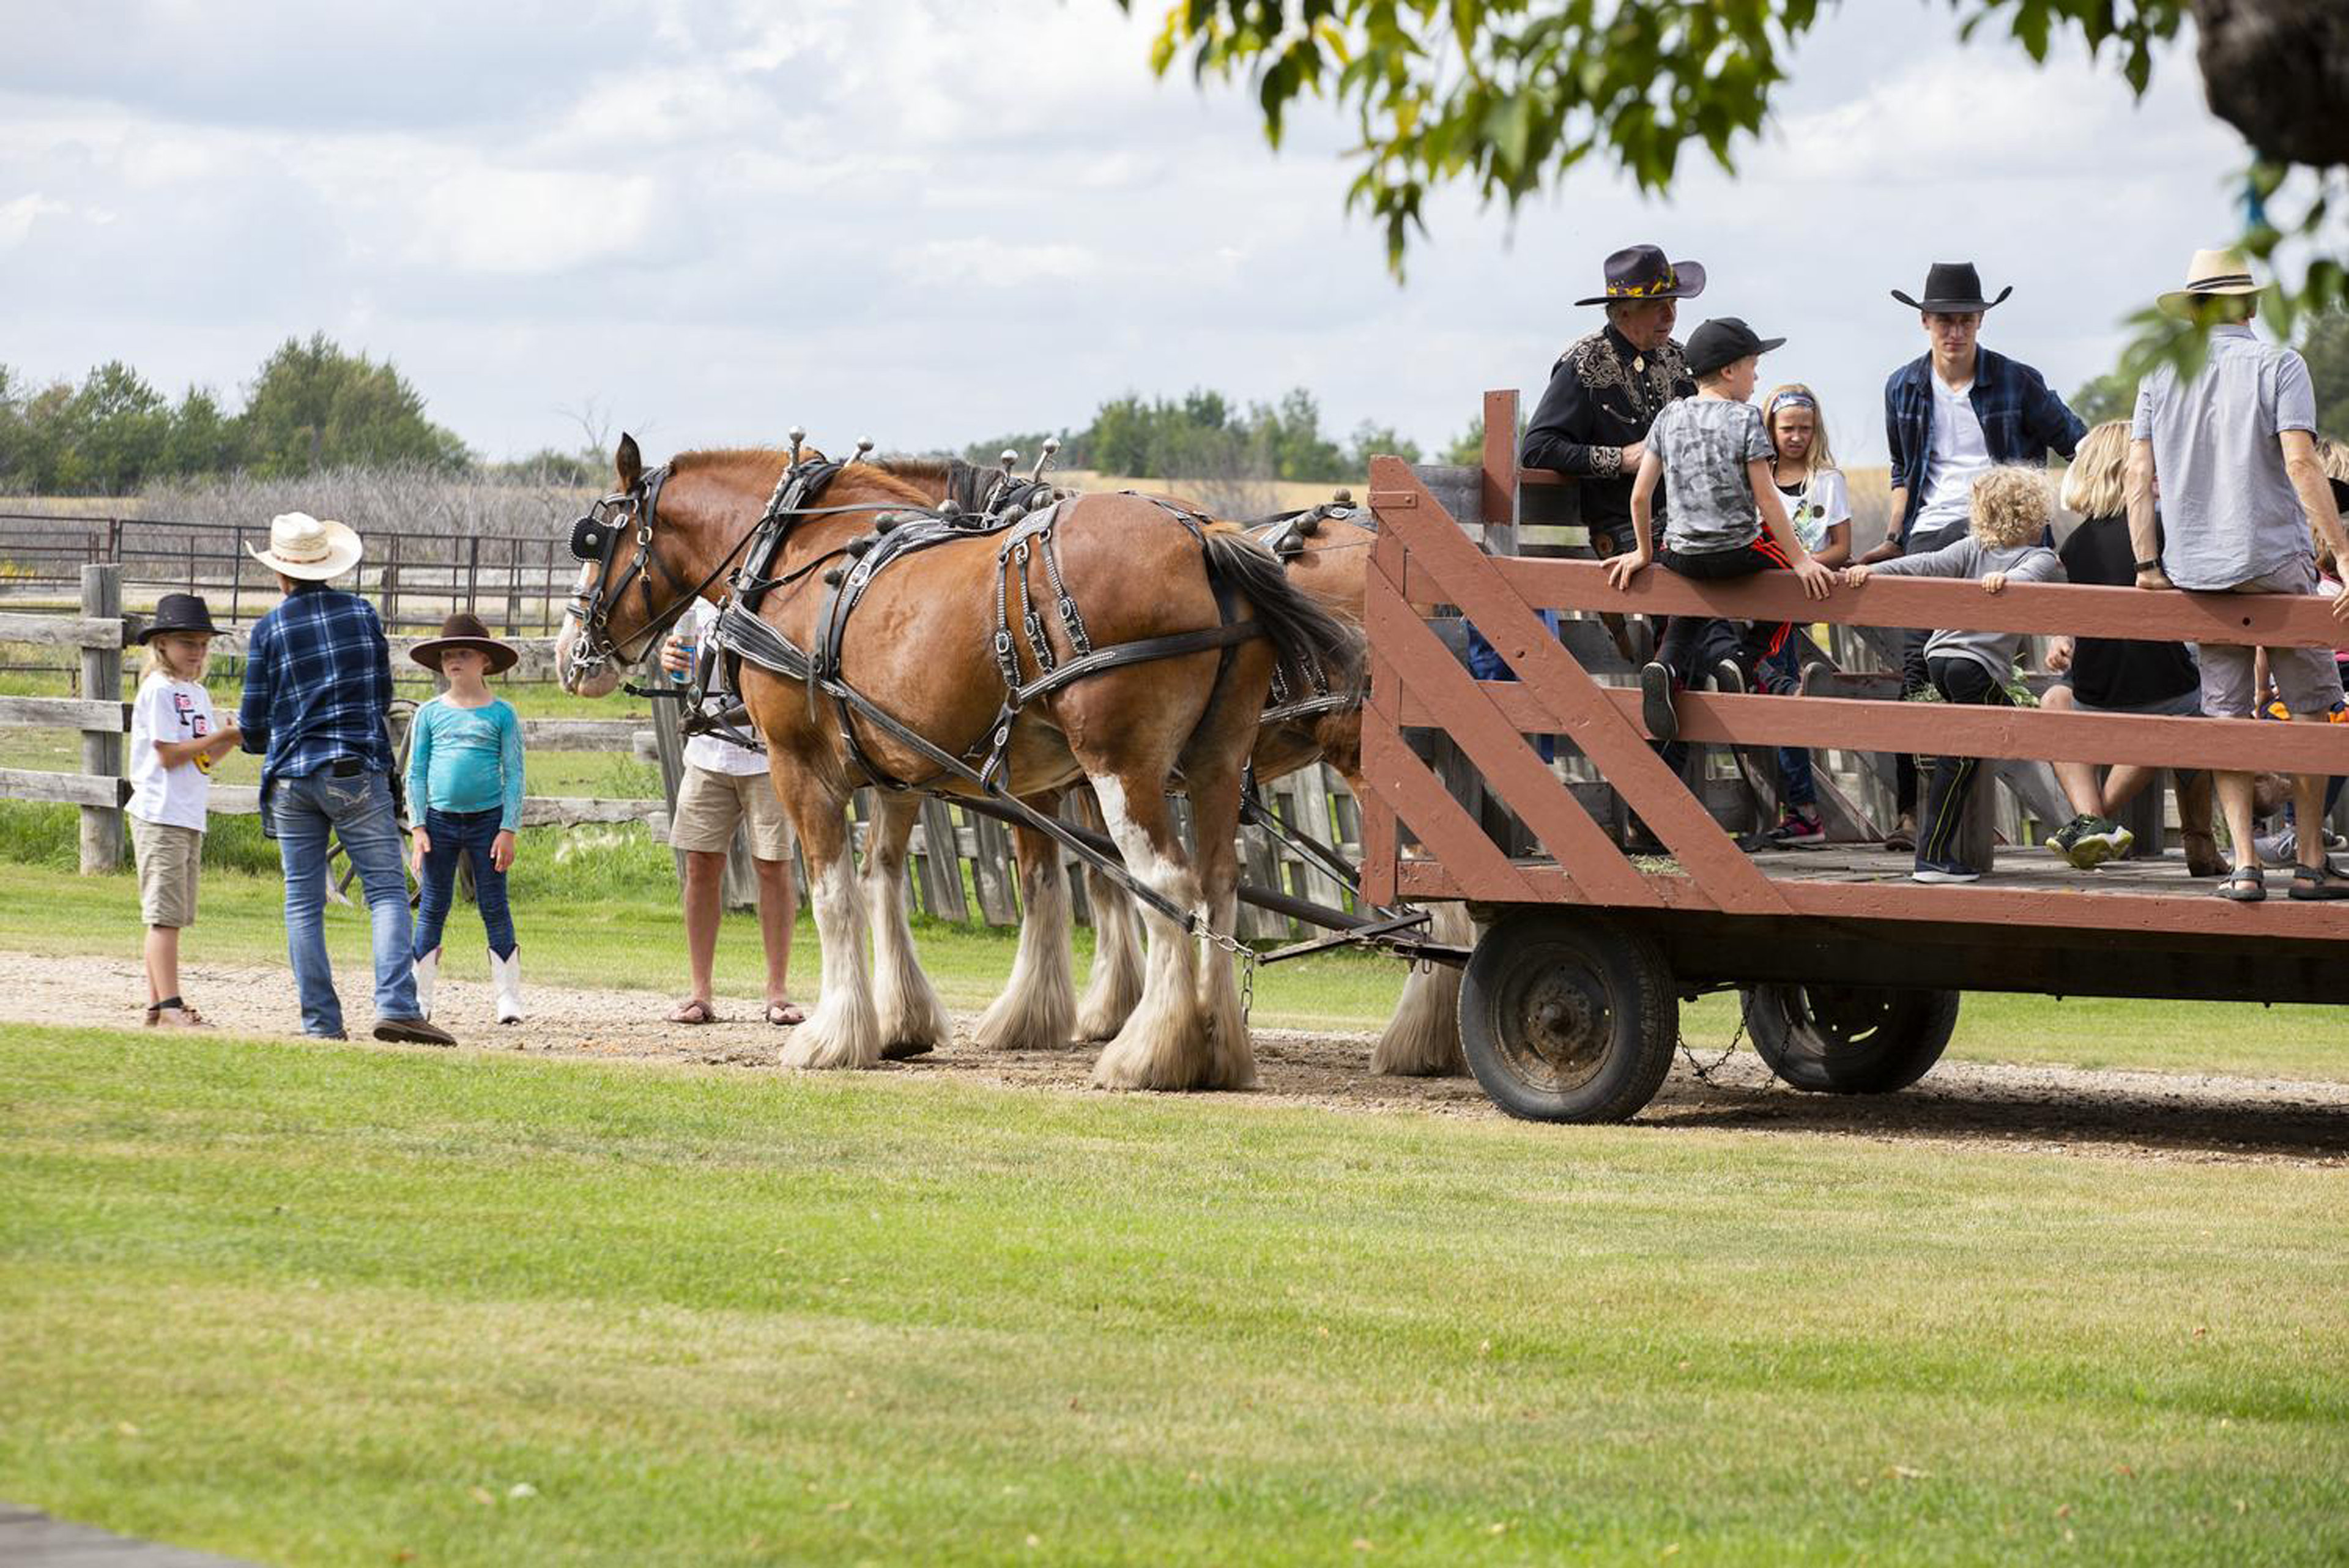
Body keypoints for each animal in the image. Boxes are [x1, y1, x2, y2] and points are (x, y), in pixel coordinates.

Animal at [554, 433, 1362, 1090]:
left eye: (592, 540)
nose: (570, 653)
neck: (791, 563)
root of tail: (1202, 539)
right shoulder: (900, 768)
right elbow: (886, 877)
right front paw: (901, 1022)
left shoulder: (801, 764)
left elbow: (837, 893)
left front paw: (834, 1036)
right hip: (1216, 761)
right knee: (1219, 886)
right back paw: (1219, 1048)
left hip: (1125, 765)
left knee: (1168, 883)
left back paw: (1151, 1055)